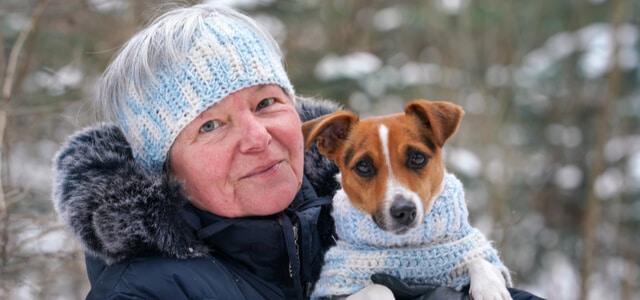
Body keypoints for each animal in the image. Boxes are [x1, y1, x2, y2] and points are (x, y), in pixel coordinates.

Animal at [304, 100, 510, 300]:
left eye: (417, 157)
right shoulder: (333, 290)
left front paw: (490, 289)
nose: (403, 210)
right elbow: (378, 288)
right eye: (363, 166)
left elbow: (478, 259)